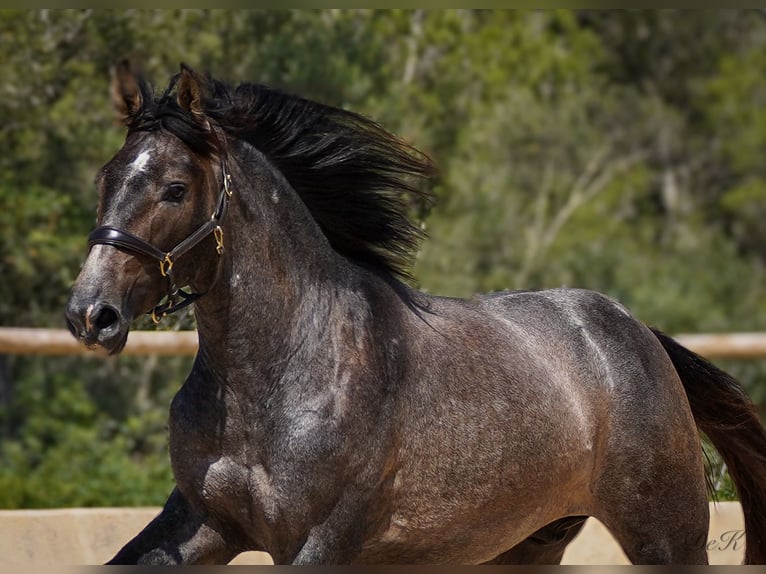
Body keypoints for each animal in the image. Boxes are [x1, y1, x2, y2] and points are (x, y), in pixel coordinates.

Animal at [65, 61, 766, 565]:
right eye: (105, 178)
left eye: (174, 189)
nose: (91, 314)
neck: (276, 374)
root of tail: (634, 333)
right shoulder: (200, 521)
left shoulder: (318, 540)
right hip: (528, 545)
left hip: (667, 537)